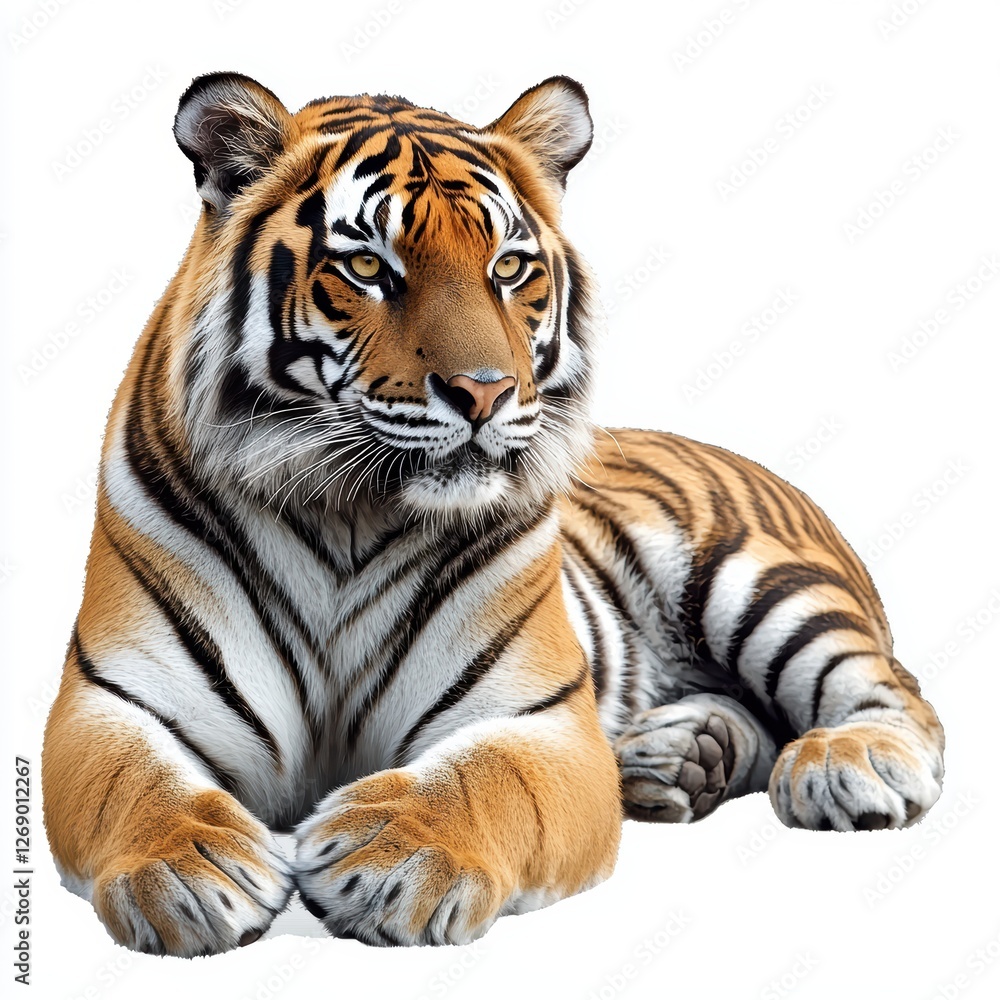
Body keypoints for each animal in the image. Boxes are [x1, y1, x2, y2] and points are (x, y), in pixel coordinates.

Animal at [41, 72, 945, 955]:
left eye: (508, 267)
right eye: (367, 266)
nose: (485, 392)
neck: (347, 514)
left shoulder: (534, 716)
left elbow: (480, 781)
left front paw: (393, 858)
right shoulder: (110, 701)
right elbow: (133, 785)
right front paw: (184, 869)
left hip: (761, 585)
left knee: (893, 689)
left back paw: (847, 763)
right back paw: (683, 760)